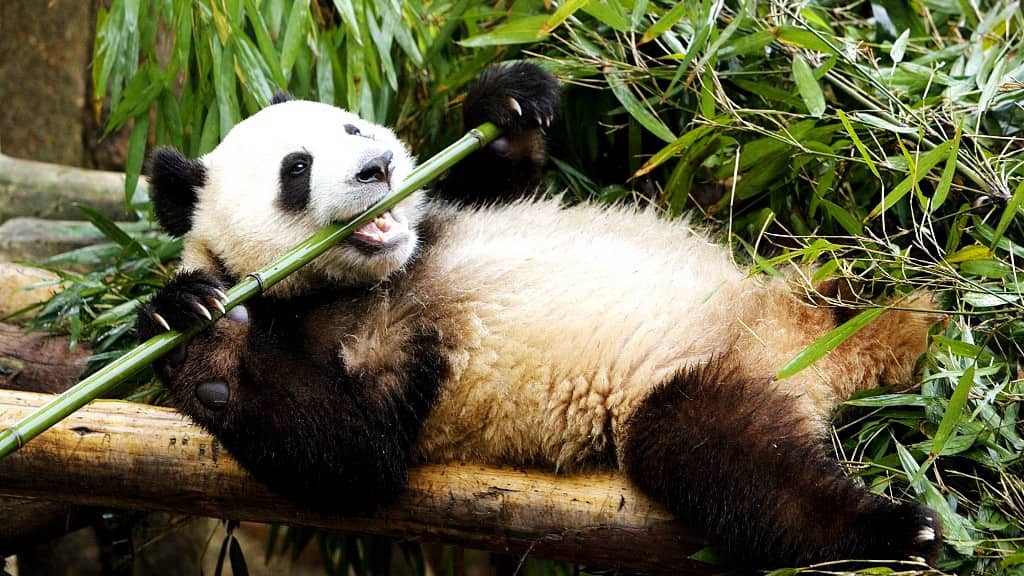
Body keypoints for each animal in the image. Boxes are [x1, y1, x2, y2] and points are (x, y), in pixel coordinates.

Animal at [138, 63, 943, 569]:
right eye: (297, 169)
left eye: (352, 131)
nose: (377, 170)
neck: (381, 276)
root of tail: (818, 351)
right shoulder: (345, 340)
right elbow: (350, 453)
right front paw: (195, 325)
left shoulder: (443, 218)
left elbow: (504, 180)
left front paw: (508, 102)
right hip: (700, 385)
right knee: (737, 468)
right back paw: (896, 530)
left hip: (807, 272)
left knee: (858, 250)